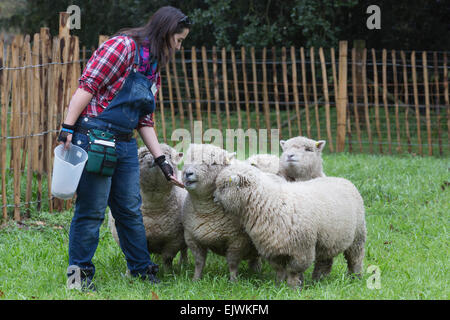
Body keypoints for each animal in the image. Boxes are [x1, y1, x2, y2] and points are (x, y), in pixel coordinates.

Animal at [182, 144, 262, 282]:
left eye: (214, 163)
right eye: (189, 158)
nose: (188, 173)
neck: (206, 211)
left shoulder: (237, 240)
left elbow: (232, 264)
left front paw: (233, 281)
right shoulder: (191, 237)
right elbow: (199, 262)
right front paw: (195, 280)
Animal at [214, 161, 366, 288]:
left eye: (224, 186)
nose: (214, 197)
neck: (269, 201)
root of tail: (343, 179)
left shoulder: (302, 249)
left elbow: (293, 270)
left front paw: (293, 287)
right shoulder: (272, 248)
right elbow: (280, 270)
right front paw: (279, 286)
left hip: (358, 235)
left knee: (355, 258)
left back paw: (355, 278)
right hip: (327, 240)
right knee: (324, 262)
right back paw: (318, 280)